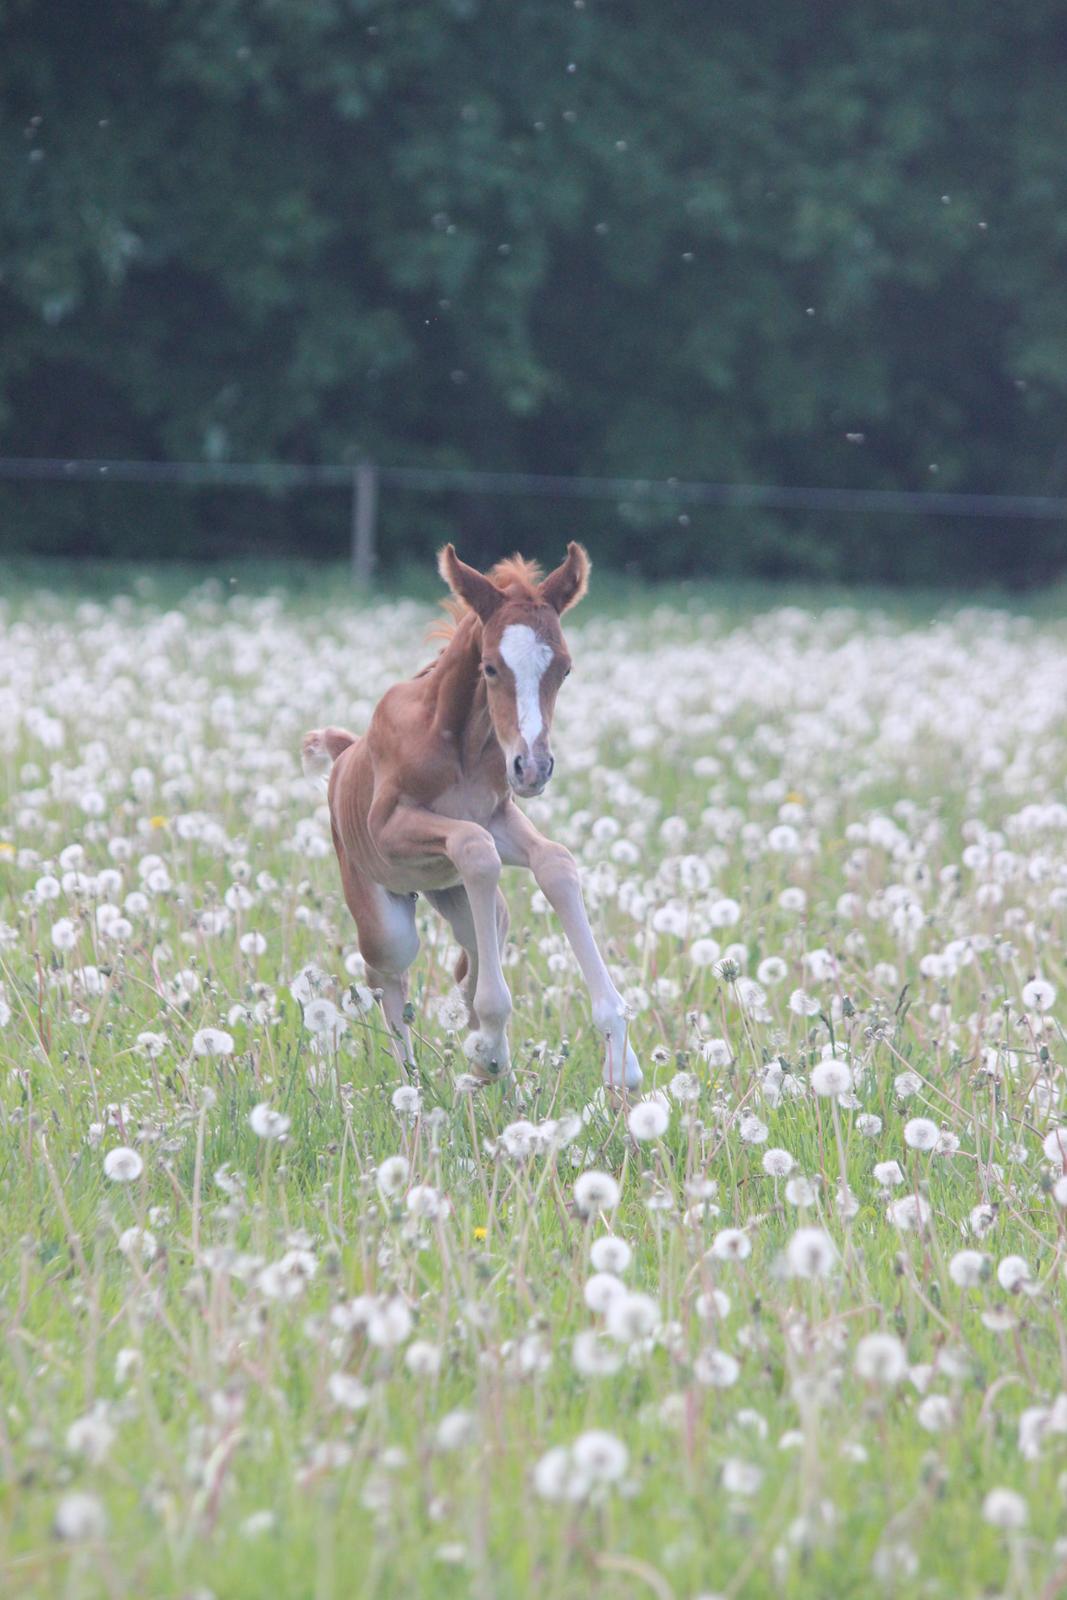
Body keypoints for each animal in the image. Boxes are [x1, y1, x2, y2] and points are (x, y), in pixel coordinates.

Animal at [300, 547, 643, 1088]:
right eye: (490, 667)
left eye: (564, 669)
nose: (533, 767)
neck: (455, 740)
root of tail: (343, 753)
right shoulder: (391, 829)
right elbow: (475, 852)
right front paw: (492, 1037)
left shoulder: (498, 816)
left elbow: (555, 862)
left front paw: (620, 1058)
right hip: (383, 911)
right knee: (386, 976)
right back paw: (418, 1083)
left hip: (453, 893)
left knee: (479, 941)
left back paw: (484, 1051)